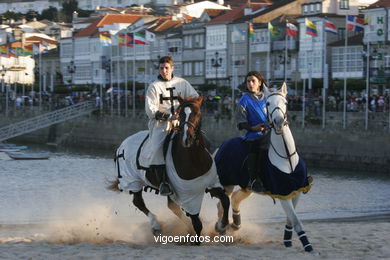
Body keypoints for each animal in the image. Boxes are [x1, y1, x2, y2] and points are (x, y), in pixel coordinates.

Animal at [213, 84, 314, 253]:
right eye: (268, 103)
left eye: (285, 102)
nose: (279, 121)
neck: (287, 158)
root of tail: (220, 147)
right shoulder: (283, 193)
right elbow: (296, 220)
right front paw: (308, 246)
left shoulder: (296, 190)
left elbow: (291, 219)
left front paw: (287, 240)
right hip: (227, 184)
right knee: (222, 203)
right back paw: (221, 226)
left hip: (247, 187)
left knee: (234, 199)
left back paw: (234, 225)